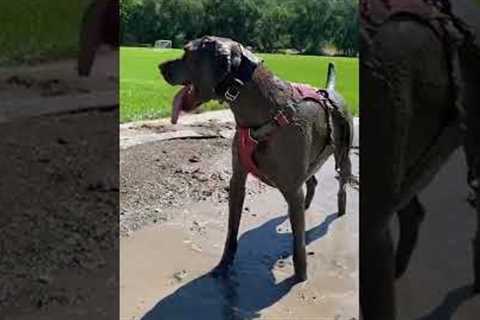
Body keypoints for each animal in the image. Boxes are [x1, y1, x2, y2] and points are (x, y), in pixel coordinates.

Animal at [159, 35, 354, 280]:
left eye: (187, 53)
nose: (160, 67)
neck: (262, 113)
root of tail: (330, 91)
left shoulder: (292, 188)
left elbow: (298, 242)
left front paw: (301, 277)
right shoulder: (238, 179)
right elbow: (232, 229)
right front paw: (224, 264)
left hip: (343, 155)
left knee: (341, 184)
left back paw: (340, 209)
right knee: (312, 181)